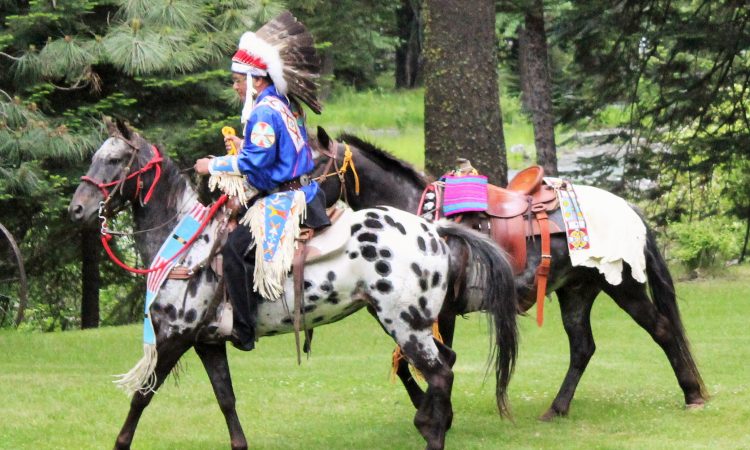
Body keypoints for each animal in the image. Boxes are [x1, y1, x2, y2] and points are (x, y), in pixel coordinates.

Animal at [67, 119, 520, 450]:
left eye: (114, 159)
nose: (77, 210)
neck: (186, 246)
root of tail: (434, 230)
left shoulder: (174, 337)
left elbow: (141, 395)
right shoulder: (206, 342)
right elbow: (226, 399)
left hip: (405, 325)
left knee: (440, 373)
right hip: (416, 323)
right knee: (445, 364)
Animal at [312, 127, 712, 422]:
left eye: (314, 166)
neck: (412, 216)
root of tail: (629, 208)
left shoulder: (438, 312)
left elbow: (433, 360)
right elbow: (410, 363)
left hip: (624, 286)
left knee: (661, 328)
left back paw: (692, 394)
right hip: (576, 291)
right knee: (583, 347)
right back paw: (557, 408)